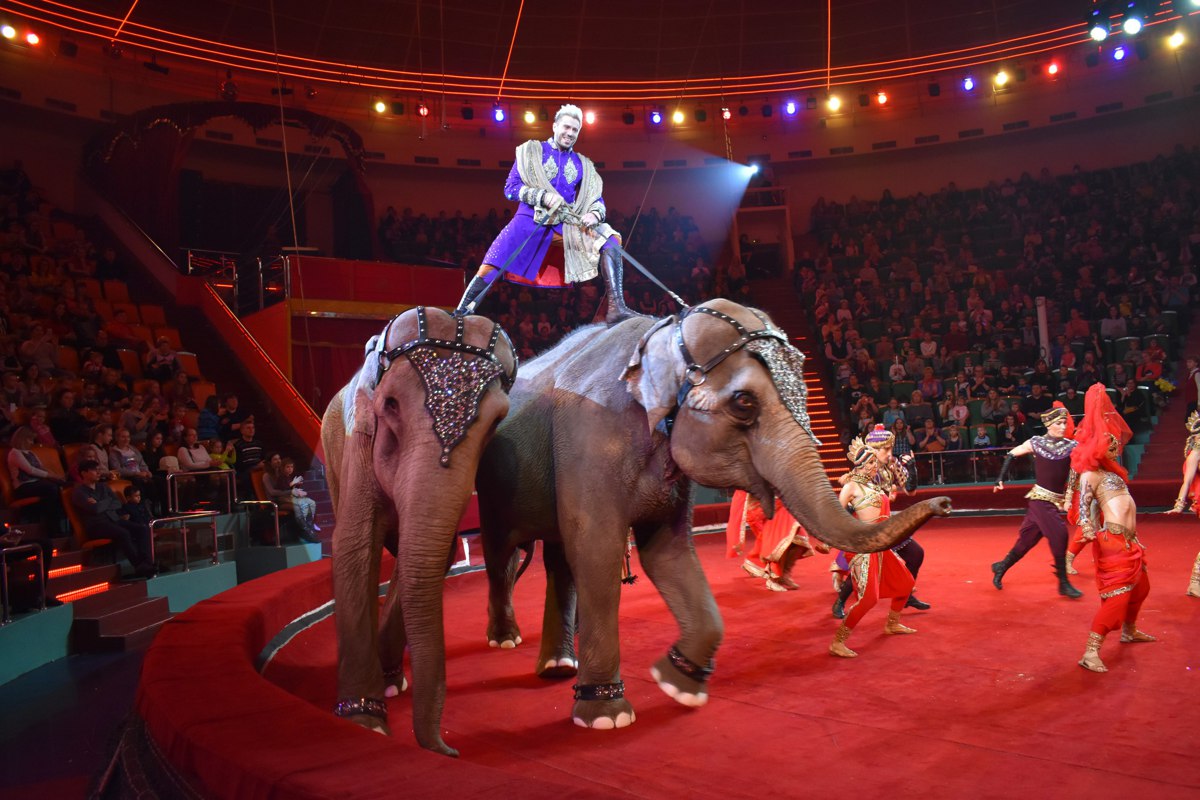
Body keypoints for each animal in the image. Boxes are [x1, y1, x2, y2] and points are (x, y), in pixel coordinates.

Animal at [324, 307, 516, 758]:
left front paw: (386, 684)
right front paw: (365, 723)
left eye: (498, 420)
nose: (451, 750)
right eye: (390, 404)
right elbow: (354, 547)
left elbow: (437, 553)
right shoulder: (358, 443)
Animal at [472, 296, 950, 734]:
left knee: (558, 561)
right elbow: (598, 552)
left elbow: (666, 552)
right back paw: (506, 639)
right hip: (492, 484)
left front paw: (677, 683)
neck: (662, 335)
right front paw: (606, 715)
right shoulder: (589, 443)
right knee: (502, 555)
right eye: (743, 403)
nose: (944, 503)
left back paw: (557, 664)